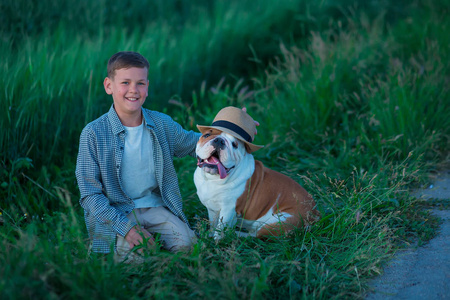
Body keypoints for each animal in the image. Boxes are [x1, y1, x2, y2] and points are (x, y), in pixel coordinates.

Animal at [193, 106, 320, 240]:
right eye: (207, 135)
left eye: (234, 145)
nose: (219, 141)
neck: (211, 179)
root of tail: (316, 215)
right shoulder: (212, 209)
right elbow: (213, 223)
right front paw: (209, 234)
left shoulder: (228, 210)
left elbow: (221, 228)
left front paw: (217, 240)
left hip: (279, 221)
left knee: (255, 235)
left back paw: (236, 234)